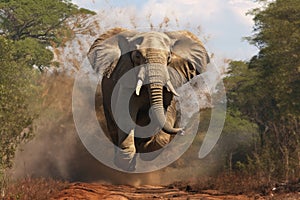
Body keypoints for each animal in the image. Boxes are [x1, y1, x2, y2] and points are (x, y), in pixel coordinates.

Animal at [87, 27, 209, 170]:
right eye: (137, 56)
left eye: (169, 57)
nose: (182, 131)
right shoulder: (125, 80)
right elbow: (125, 116)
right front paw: (129, 156)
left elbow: (167, 115)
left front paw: (145, 145)